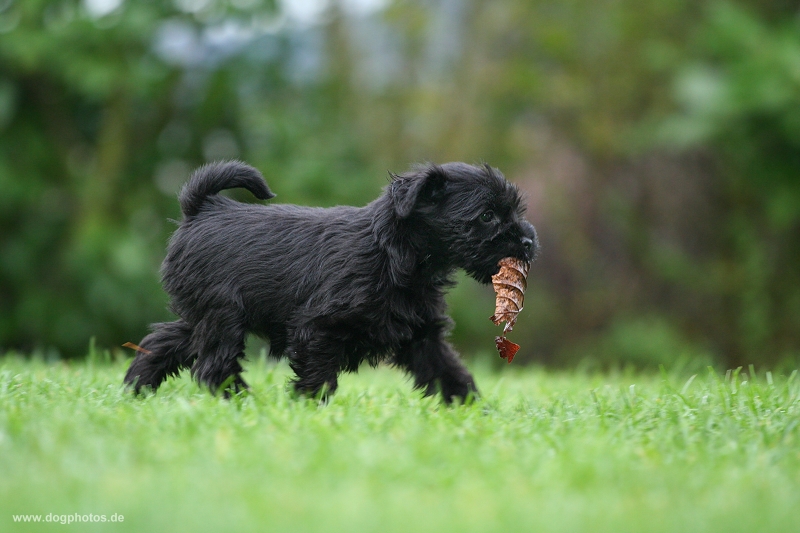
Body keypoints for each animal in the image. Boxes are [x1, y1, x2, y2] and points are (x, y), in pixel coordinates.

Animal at [125, 160, 536, 402]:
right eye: (487, 216)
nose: (530, 240)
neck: (393, 253)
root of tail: (201, 209)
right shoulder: (317, 328)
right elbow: (319, 375)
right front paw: (311, 408)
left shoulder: (422, 335)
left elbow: (449, 371)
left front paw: (472, 409)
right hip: (223, 316)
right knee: (214, 364)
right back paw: (240, 400)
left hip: (201, 315)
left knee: (164, 342)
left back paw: (138, 388)